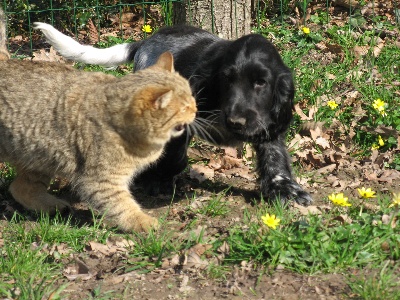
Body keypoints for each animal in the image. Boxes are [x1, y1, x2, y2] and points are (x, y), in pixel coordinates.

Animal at [0, 50, 195, 232]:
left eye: (192, 97)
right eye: (184, 107)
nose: (195, 109)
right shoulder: (101, 181)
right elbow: (122, 206)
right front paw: (140, 221)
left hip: (42, 156)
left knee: (20, 188)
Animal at [34, 23, 310, 206]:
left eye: (261, 83)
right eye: (227, 79)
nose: (236, 122)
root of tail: (145, 41)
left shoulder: (268, 124)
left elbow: (275, 159)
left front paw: (286, 190)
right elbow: (174, 156)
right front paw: (158, 180)